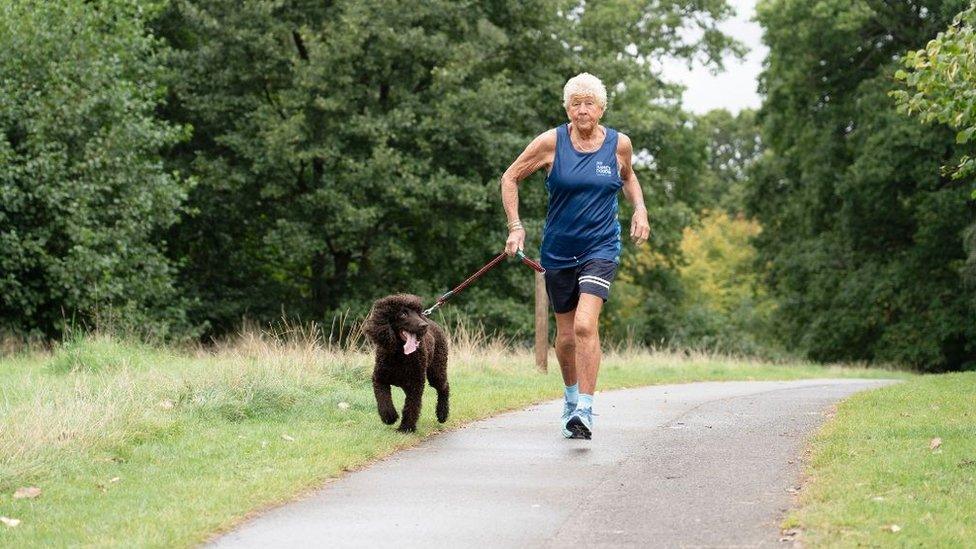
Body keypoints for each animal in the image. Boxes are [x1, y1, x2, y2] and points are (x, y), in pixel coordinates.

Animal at [362, 294, 450, 430]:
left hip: (437, 370)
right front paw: (390, 417)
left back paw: (442, 414)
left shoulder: (415, 384)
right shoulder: (379, 379)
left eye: (417, 313)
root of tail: (432, 322)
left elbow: (412, 405)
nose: (424, 325)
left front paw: (406, 428)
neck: (400, 355)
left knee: (444, 388)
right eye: (403, 314)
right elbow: (383, 399)